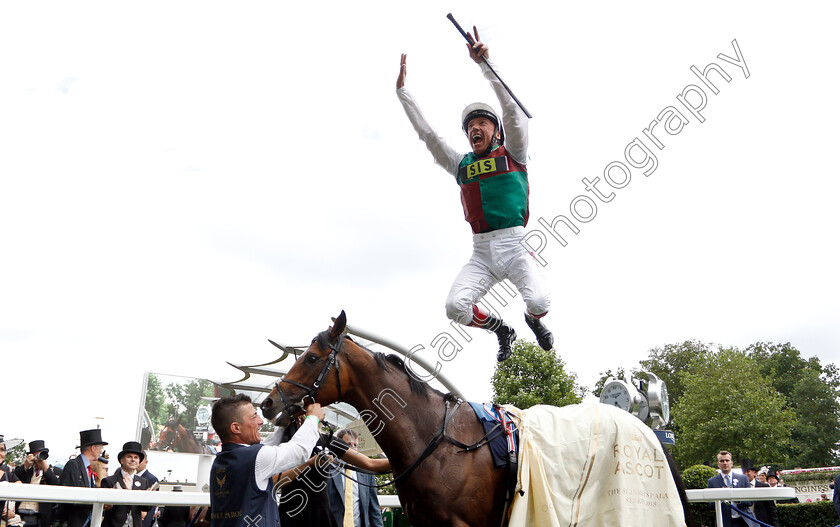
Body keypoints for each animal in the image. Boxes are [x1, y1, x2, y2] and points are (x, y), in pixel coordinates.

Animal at [398, 24, 556, 364]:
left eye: (483, 120)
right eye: (474, 123)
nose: (475, 129)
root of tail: (499, 268)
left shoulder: (517, 145)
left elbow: (513, 113)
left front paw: (481, 54)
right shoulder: (452, 157)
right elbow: (428, 133)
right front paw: (401, 83)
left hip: (521, 262)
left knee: (536, 303)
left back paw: (541, 332)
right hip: (479, 270)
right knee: (459, 306)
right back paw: (505, 335)